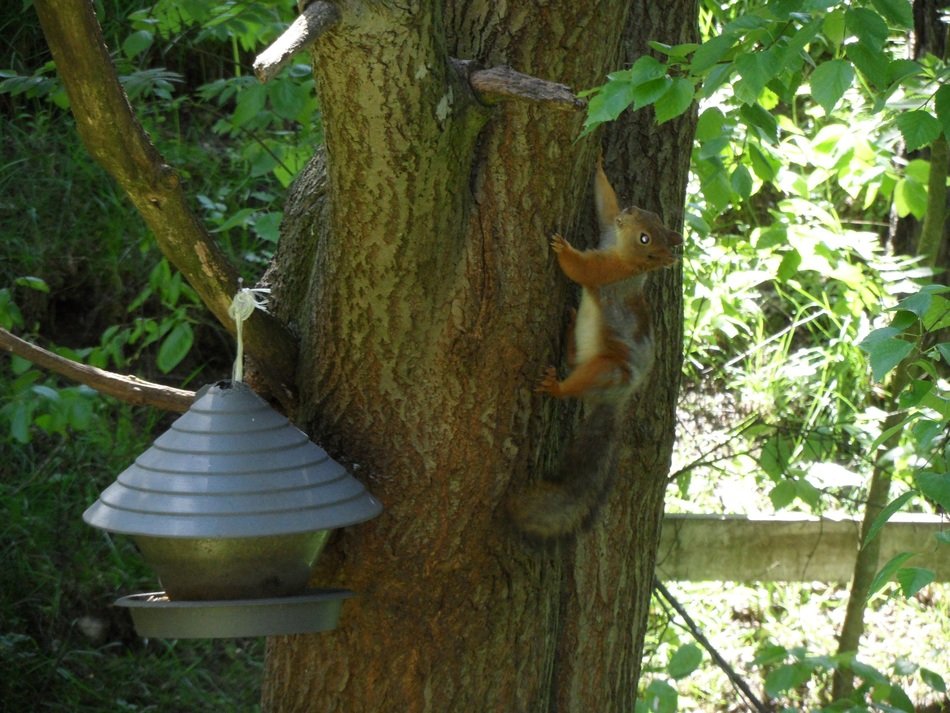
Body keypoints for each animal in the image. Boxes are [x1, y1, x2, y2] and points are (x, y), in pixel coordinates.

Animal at [507, 157, 683, 540]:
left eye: (646, 238)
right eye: (651, 216)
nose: (631, 210)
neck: (622, 253)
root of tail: (617, 399)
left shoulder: (606, 272)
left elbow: (580, 270)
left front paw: (563, 249)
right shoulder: (606, 229)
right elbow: (605, 206)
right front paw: (600, 164)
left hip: (606, 369)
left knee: (576, 381)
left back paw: (556, 385)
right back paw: (571, 326)